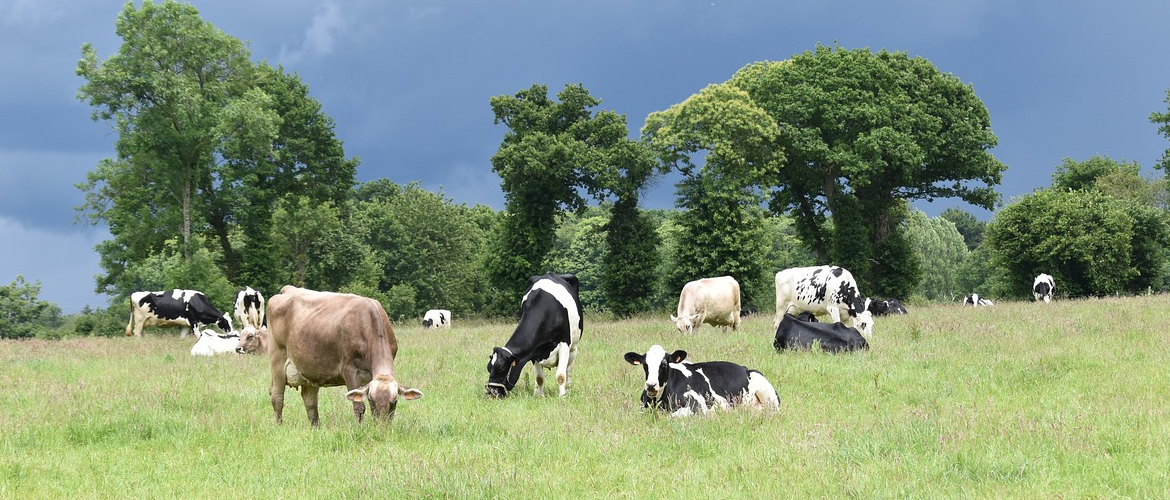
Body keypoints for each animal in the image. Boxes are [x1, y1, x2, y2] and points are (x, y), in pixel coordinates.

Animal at [267, 285, 423, 426]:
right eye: (371, 400)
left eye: (394, 401)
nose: (382, 426)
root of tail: (289, 289)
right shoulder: (349, 369)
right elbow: (359, 406)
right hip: (277, 359)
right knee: (277, 397)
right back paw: (279, 426)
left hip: (310, 369)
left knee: (310, 400)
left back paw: (315, 427)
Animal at [622, 344, 776, 419]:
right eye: (645, 365)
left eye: (664, 364)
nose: (651, 385)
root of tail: (744, 368)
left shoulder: (696, 406)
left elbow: (671, 417)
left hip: (769, 395)